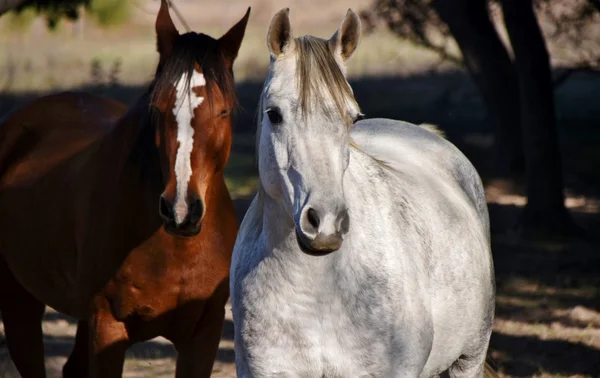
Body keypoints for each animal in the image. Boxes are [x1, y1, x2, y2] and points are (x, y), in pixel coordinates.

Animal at [0, 1, 250, 376]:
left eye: (223, 111)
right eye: (159, 107)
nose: (180, 211)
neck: (176, 250)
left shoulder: (203, 335)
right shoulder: (108, 329)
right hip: (19, 302)